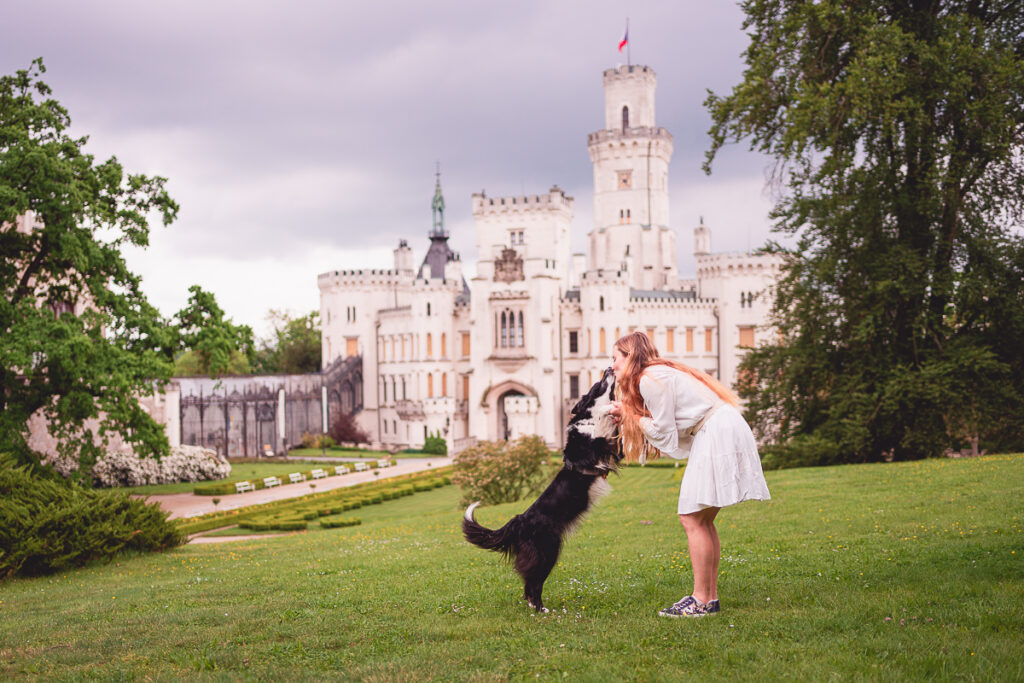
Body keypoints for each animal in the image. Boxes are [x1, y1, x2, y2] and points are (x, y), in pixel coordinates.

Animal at [460, 368, 618, 614]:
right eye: (598, 384)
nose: (609, 369)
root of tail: (519, 521)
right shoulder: (591, 449)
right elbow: (604, 429)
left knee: (528, 582)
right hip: (548, 550)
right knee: (534, 581)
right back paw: (541, 609)